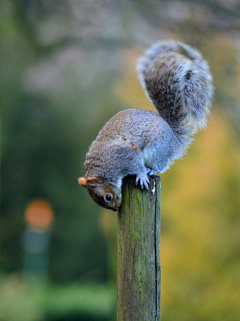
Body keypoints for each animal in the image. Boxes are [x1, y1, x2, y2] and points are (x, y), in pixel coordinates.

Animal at [79, 40, 214, 210]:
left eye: (107, 197)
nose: (116, 207)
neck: (104, 168)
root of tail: (174, 139)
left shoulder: (124, 155)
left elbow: (137, 165)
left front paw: (142, 175)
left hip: (156, 149)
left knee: (162, 164)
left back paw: (150, 170)